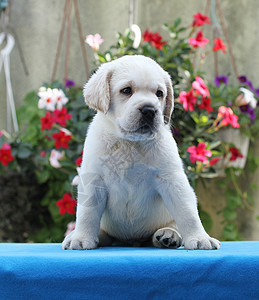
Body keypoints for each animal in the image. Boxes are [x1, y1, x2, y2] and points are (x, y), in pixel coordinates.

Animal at [61, 55, 221, 250]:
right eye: (126, 90)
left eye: (159, 93)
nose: (150, 110)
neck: (130, 143)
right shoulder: (94, 180)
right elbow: (87, 213)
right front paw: (81, 237)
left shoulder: (172, 179)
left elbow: (187, 213)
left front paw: (199, 238)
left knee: (174, 223)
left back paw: (168, 235)